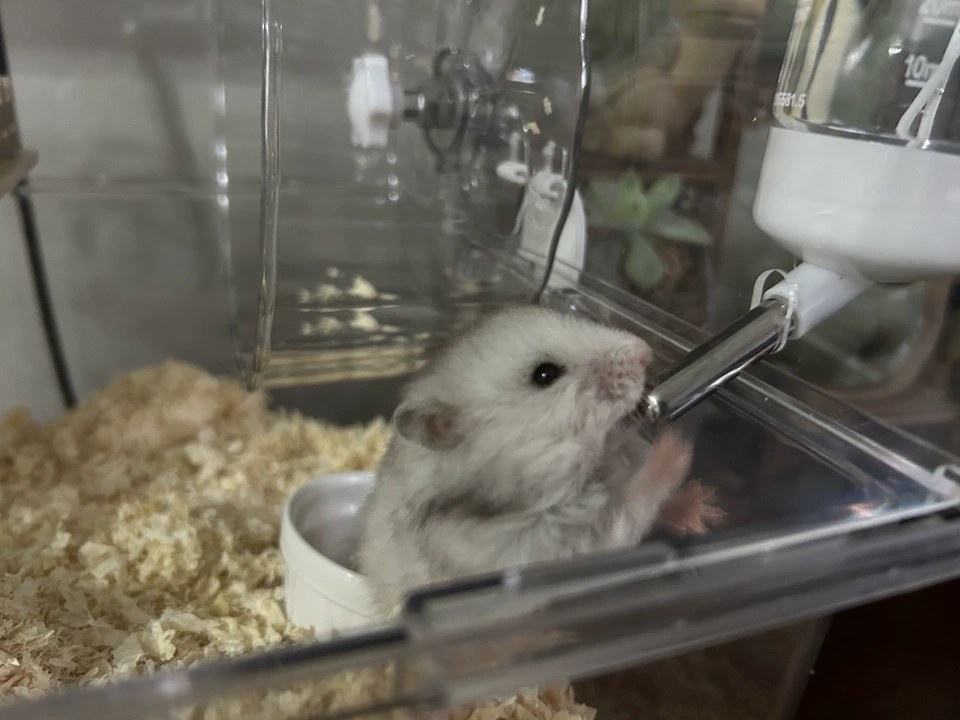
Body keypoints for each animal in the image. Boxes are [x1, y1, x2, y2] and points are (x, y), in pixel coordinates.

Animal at [356, 305, 722, 612]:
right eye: (544, 374)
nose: (644, 351)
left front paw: (706, 507)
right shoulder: (552, 546)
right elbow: (628, 508)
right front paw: (674, 447)